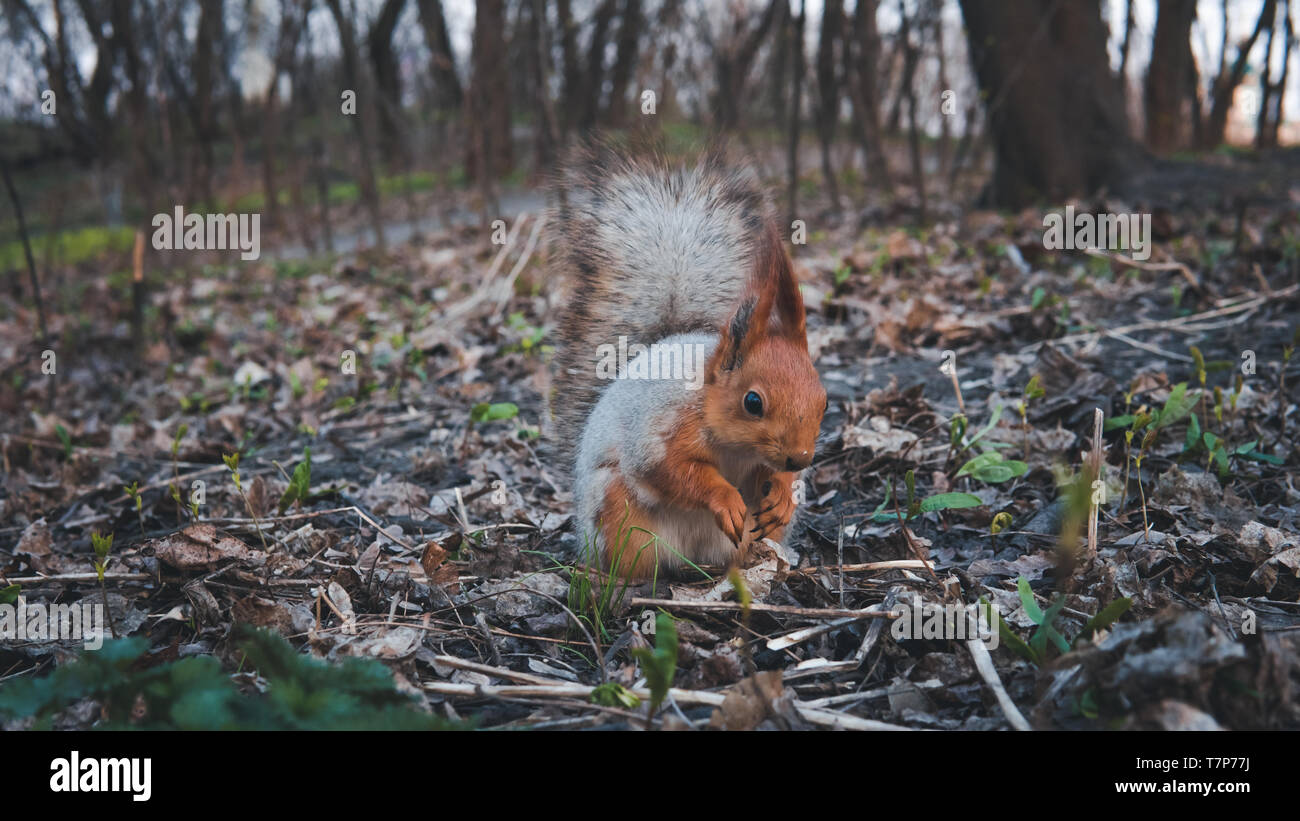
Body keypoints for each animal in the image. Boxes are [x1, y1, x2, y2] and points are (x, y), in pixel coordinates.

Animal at [548, 142, 821, 576]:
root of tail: (693, 555)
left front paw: (781, 493)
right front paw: (724, 497)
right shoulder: (662, 429)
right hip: (617, 512)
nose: (800, 459)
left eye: (823, 400)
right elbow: (671, 472)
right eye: (753, 402)